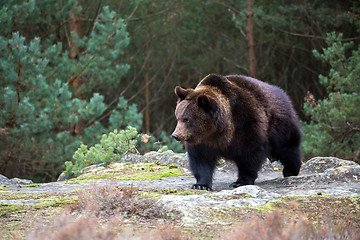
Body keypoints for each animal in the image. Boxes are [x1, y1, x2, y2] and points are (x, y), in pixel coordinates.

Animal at [172, 74, 300, 190]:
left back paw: (291, 170)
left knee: (287, 147)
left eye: (187, 119)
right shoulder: (203, 140)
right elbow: (201, 159)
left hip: (279, 124)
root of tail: (282, 93)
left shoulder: (246, 123)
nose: (175, 135)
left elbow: (249, 154)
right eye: (178, 117)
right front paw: (201, 185)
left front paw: (240, 182)